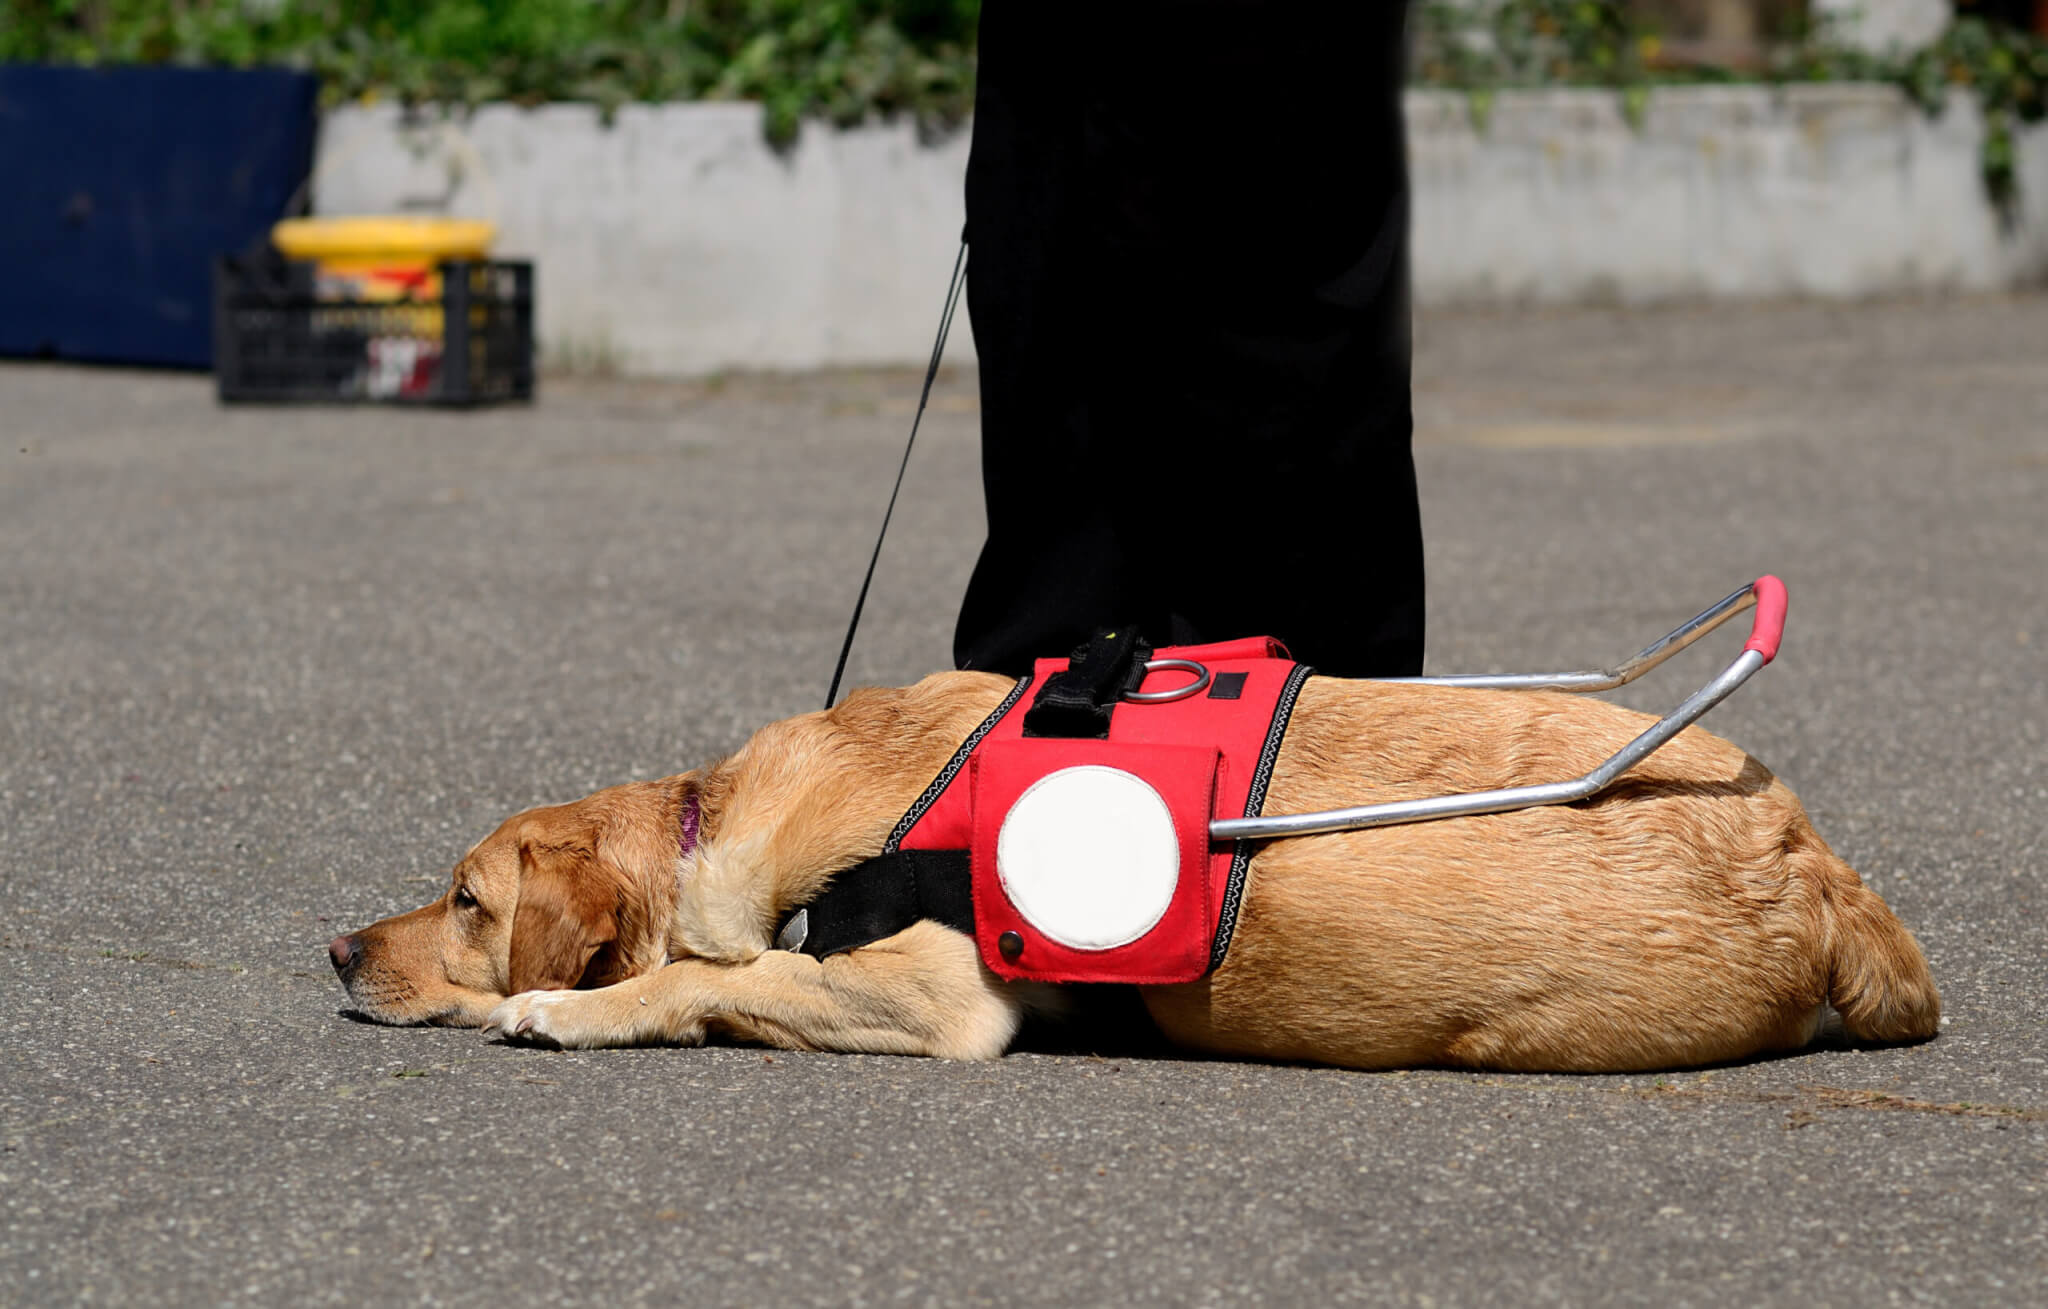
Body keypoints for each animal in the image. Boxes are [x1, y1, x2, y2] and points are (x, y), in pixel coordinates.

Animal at [327, 663, 1941, 1073]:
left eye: (466, 903)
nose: (334, 949)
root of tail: (1811, 858)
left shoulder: (940, 1001)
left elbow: (703, 980)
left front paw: (565, 1008)